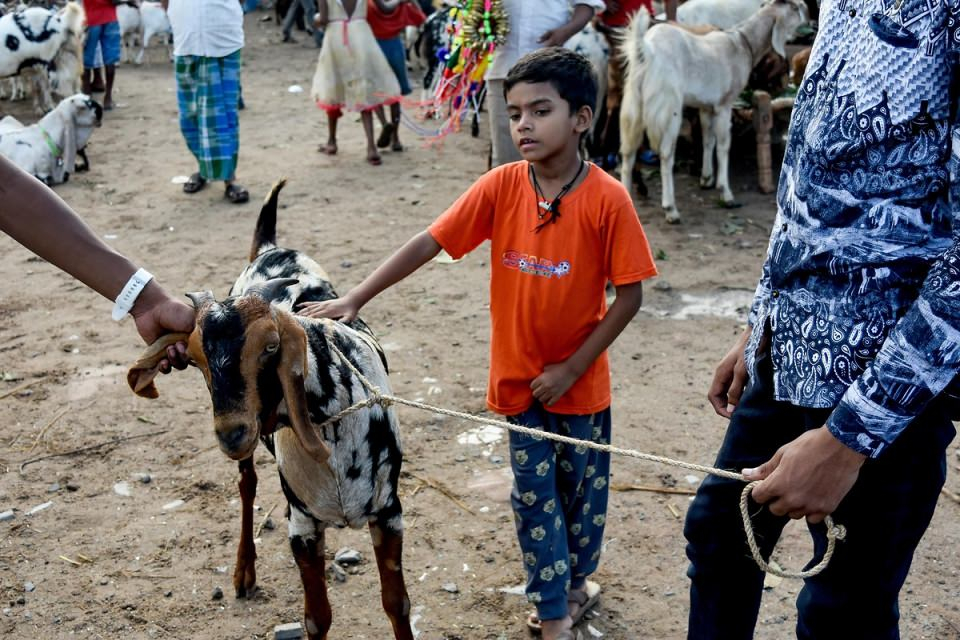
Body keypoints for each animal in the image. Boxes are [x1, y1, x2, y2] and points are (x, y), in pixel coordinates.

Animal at [127, 180, 412, 640]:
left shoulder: (389, 513)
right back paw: (244, 571)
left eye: (271, 347)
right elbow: (317, 617)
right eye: (194, 360)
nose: (231, 433)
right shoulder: (303, 527)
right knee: (247, 484)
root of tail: (271, 248)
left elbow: (396, 604)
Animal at [620, 0, 808, 222]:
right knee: (666, 154)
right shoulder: (724, 105)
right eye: (794, 9)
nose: (806, 8)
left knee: (628, 151)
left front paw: (706, 178)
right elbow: (723, 145)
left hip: (633, 103)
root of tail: (645, 50)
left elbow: (708, 139)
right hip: (668, 105)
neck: (742, 43)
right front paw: (725, 192)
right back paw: (671, 209)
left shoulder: (706, 106)